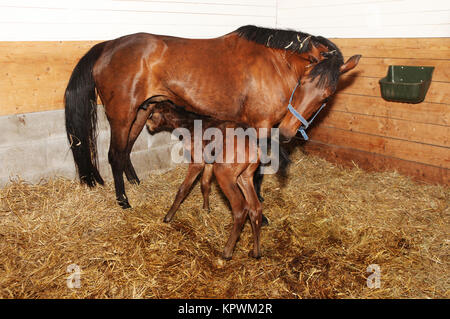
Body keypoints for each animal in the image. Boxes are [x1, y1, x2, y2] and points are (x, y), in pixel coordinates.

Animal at [148, 103, 266, 260]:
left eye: (152, 114)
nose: (148, 126)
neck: (189, 124)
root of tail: (253, 146)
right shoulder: (208, 162)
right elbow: (205, 185)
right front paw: (206, 209)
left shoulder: (197, 161)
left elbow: (183, 188)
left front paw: (168, 217)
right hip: (244, 176)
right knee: (255, 207)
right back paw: (256, 252)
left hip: (224, 173)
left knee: (241, 208)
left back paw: (227, 252)